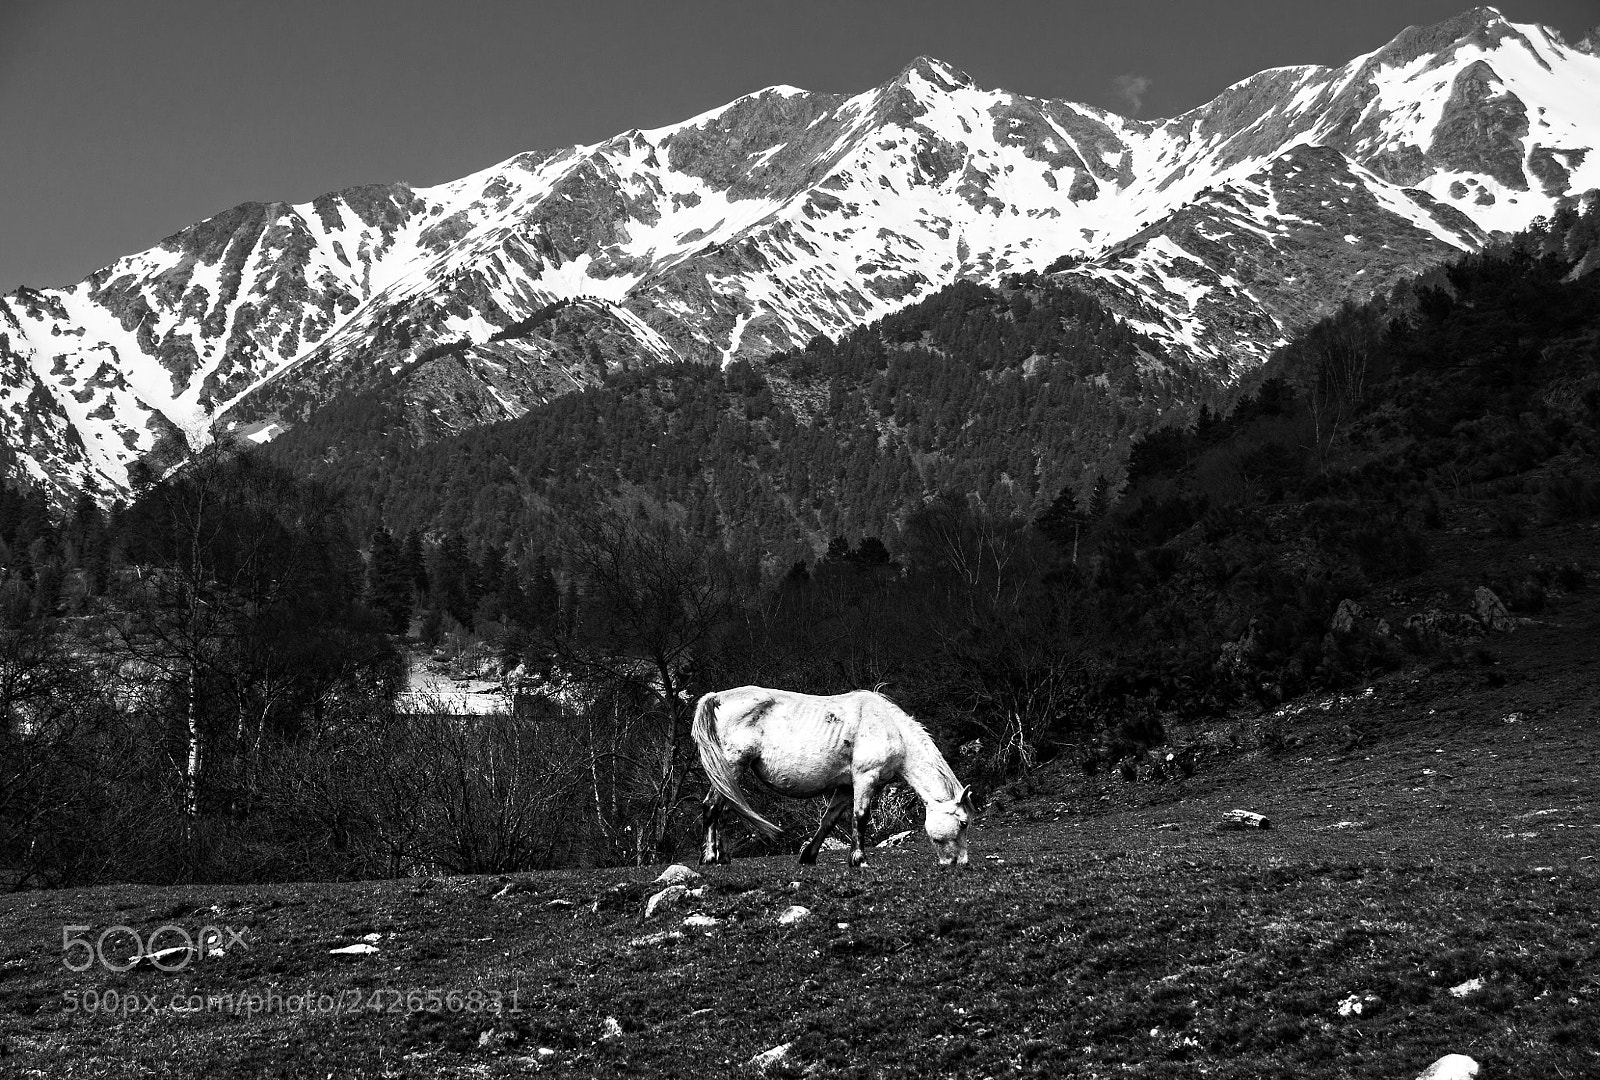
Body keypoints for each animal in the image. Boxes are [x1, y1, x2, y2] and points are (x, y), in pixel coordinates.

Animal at [691, 686, 975, 868]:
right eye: (963, 823)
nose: (960, 863)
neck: (890, 727)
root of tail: (717, 698)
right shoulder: (865, 778)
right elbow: (860, 817)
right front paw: (859, 860)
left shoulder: (846, 787)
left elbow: (828, 820)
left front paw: (809, 857)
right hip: (732, 766)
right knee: (711, 807)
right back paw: (709, 858)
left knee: (723, 807)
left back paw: (722, 856)